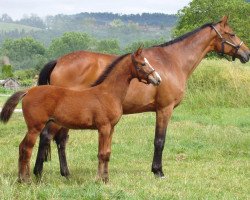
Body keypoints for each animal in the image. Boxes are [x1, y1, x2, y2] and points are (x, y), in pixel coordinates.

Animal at [0, 48, 162, 183]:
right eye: (142, 63)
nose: (158, 79)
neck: (108, 93)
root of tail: (28, 91)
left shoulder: (111, 128)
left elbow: (107, 153)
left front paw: (106, 178)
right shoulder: (103, 127)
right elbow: (102, 153)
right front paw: (99, 179)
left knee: (22, 147)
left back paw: (21, 178)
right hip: (35, 127)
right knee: (27, 148)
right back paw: (26, 180)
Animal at [34, 16, 248, 178]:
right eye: (231, 33)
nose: (247, 53)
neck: (172, 61)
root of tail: (58, 61)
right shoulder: (164, 109)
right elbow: (159, 141)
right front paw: (158, 171)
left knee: (60, 140)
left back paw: (65, 173)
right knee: (49, 137)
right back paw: (39, 173)